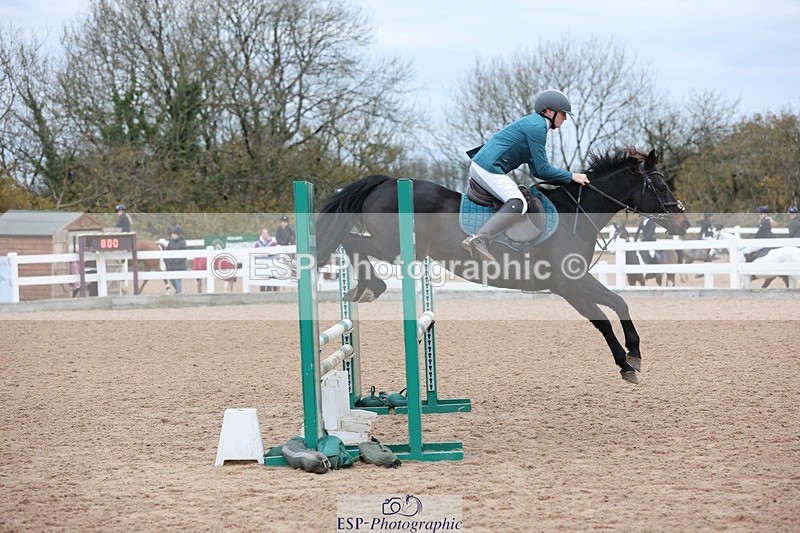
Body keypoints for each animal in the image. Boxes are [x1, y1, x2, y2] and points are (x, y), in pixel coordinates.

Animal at [316, 147, 690, 383]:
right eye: (659, 184)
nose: (682, 221)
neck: (576, 213)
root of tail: (386, 182)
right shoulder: (572, 282)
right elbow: (612, 308)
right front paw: (630, 359)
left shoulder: (568, 288)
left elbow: (610, 311)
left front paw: (629, 359)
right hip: (392, 247)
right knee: (349, 241)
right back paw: (371, 286)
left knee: (349, 241)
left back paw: (363, 289)